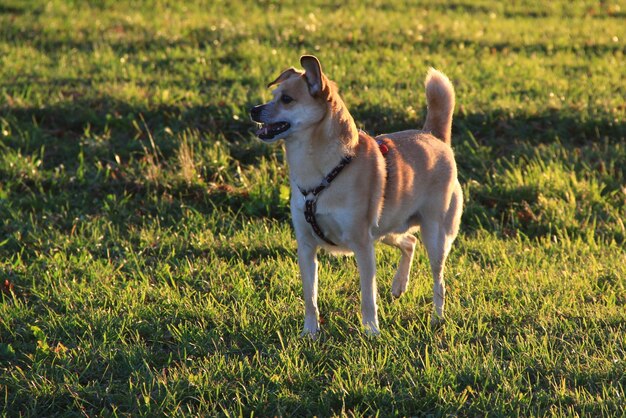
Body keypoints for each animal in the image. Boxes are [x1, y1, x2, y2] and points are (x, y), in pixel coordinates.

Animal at [247, 55, 458, 336]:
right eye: (273, 96)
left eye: (287, 99)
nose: (254, 110)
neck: (324, 171)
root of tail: (433, 136)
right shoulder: (306, 245)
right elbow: (310, 296)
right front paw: (309, 333)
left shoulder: (362, 245)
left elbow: (368, 296)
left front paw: (372, 332)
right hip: (386, 228)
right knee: (409, 242)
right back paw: (399, 285)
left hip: (435, 235)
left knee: (438, 279)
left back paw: (437, 318)